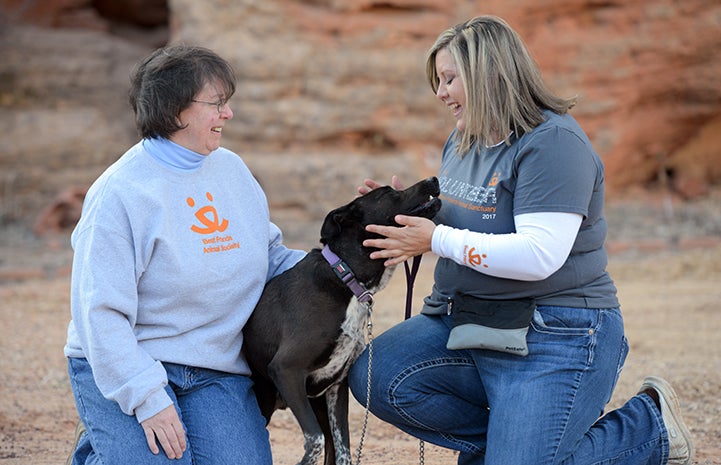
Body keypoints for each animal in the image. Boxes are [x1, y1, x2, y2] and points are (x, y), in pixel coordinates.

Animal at [245, 176, 442, 462]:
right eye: (387, 192)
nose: (433, 179)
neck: (345, 277)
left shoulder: (336, 386)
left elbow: (342, 450)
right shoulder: (286, 369)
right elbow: (314, 440)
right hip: (268, 400)